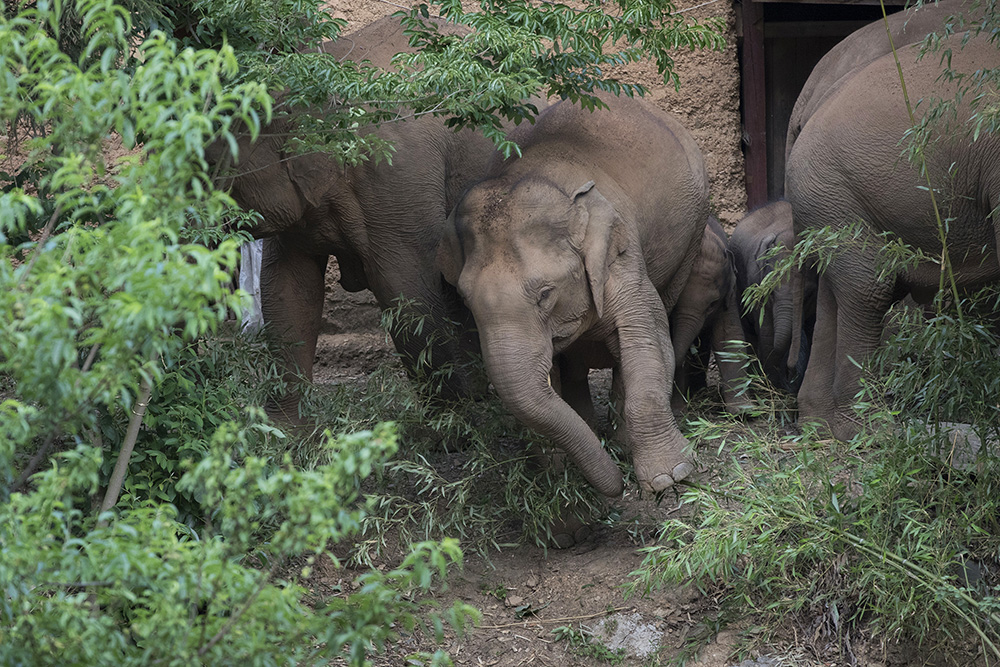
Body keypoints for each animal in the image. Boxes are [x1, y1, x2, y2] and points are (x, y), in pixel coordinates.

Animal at [440, 92, 712, 500]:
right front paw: (554, 472)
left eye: (545, 293)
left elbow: (646, 336)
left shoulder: (621, 256)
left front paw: (671, 477)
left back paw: (619, 443)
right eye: (465, 298)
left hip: (693, 230)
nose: (617, 487)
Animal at [784, 31, 1000, 440]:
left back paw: (819, 425)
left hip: (831, 204)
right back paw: (869, 429)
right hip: (834, 189)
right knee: (871, 288)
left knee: (836, 293)